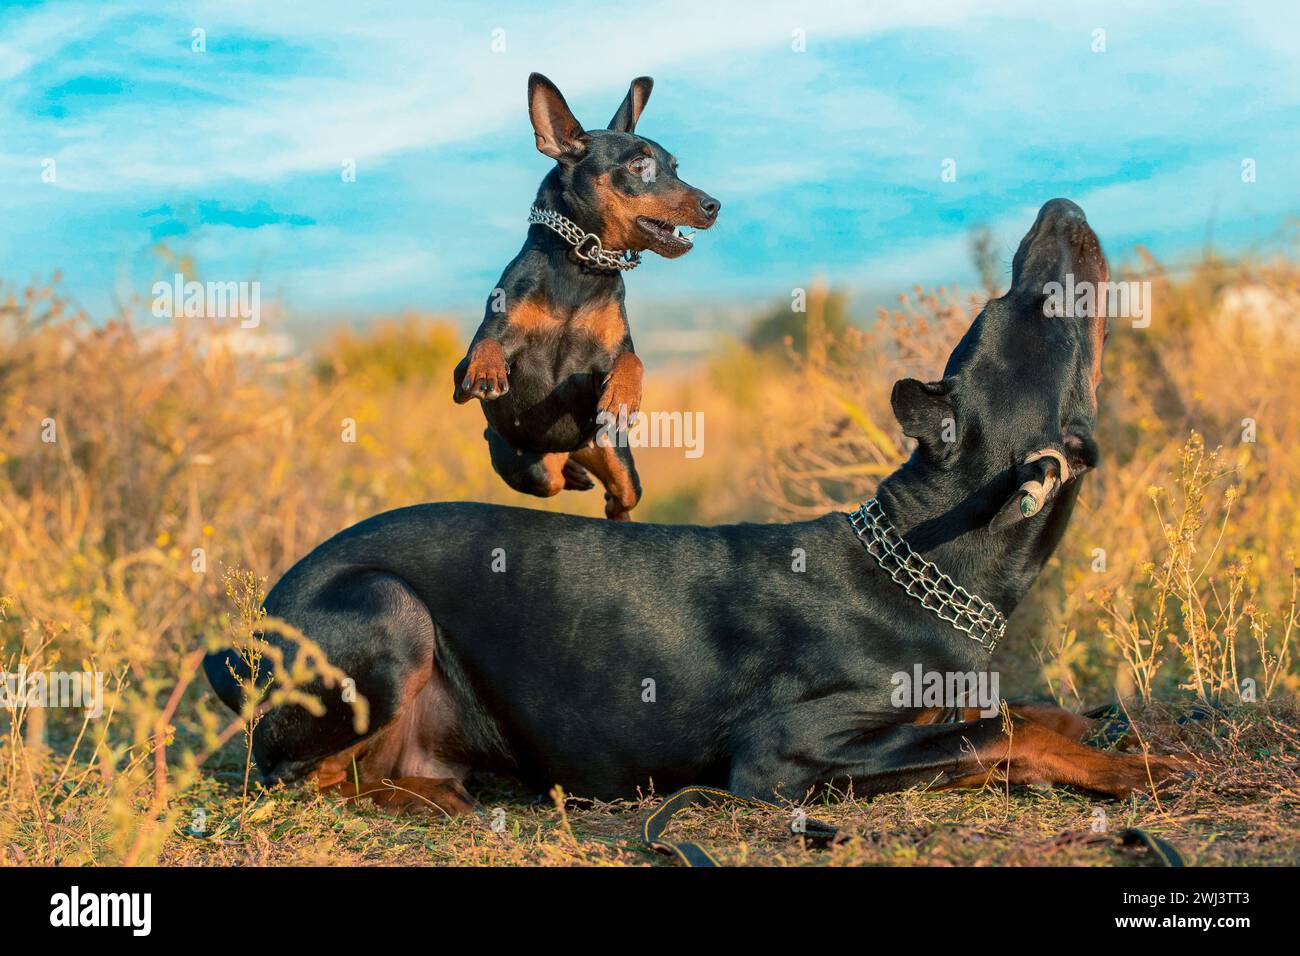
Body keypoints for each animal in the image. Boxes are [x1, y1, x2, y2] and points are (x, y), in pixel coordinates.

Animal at [205, 200, 1190, 816]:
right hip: (389, 609)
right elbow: (998, 735)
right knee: (301, 775)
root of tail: (247, 633)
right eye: (1035, 306)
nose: (1061, 205)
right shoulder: (787, 752)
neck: (929, 560)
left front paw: (1106, 725)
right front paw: (1129, 765)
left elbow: (1027, 709)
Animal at [454, 72, 722, 522]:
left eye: (675, 167)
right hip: (524, 462)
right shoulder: (464, 375)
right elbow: (487, 344)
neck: (581, 266)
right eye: (639, 166)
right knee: (551, 476)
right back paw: (573, 473)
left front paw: (623, 394)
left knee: (621, 497)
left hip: (615, 458)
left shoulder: (608, 354)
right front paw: (489, 369)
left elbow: (632, 360)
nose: (713, 205)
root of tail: (570, 448)